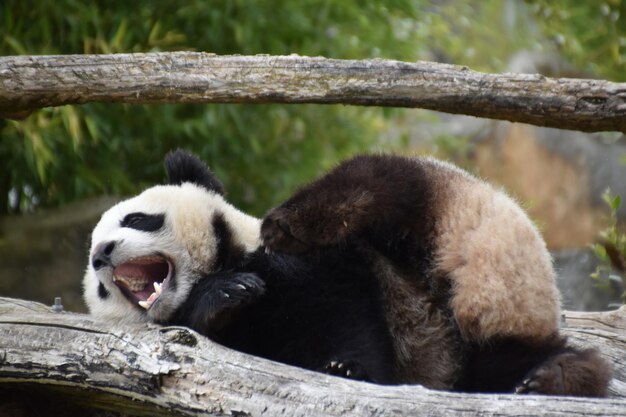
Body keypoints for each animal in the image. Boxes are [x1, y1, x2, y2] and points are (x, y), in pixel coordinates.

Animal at [84, 149, 608, 394]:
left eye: (138, 219)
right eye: (98, 287)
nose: (102, 255)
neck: (229, 257)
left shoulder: (340, 266)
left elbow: (343, 309)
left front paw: (347, 367)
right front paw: (225, 295)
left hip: (471, 248)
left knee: (380, 179)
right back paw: (550, 376)